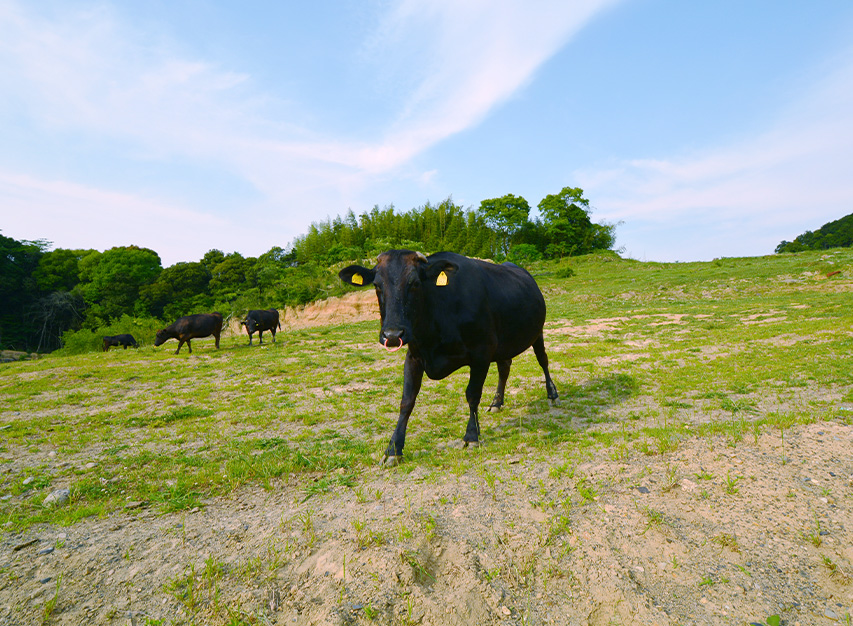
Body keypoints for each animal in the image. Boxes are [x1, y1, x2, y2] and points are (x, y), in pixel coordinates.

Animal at [340, 249, 560, 464]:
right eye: (376, 285)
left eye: (415, 283)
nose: (392, 335)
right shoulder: (414, 357)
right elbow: (406, 401)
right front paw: (394, 448)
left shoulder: (481, 352)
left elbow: (472, 394)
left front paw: (471, 436)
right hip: (504, 344)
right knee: (504, 367)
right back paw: (496, 403)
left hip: (537, 332)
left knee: (543, 360)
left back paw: (552, 394)